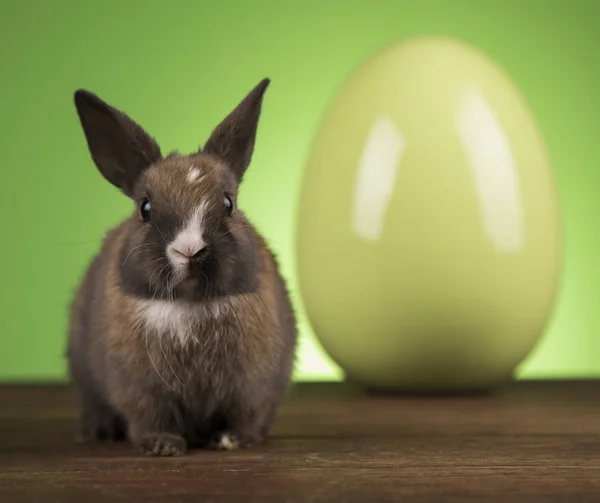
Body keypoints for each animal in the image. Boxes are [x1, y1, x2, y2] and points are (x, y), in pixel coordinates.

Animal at [65, 78, 298, 456]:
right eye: (145, 208)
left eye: (228, 203)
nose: (189, 249)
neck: (191, 304)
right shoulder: (140, 389)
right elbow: (150, 417)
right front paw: (162, 446)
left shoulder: (254, 386)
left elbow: (246, 414)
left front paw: (232, 440)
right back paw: (96, 431)